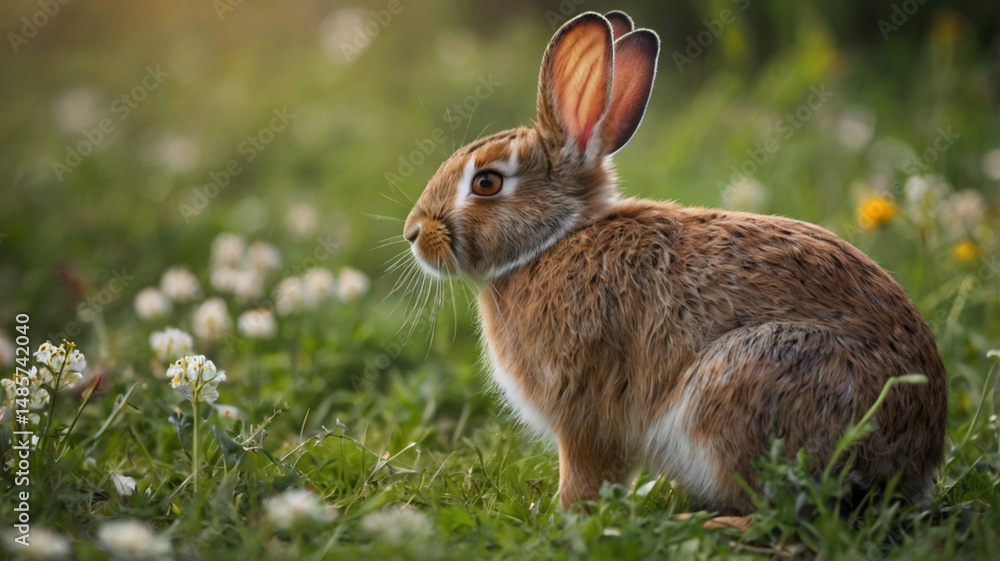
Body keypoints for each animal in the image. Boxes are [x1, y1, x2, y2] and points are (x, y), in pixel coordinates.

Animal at [402, 10, 947, 516]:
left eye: (486, 182)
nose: (413, 233)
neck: (553, 242)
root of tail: (914, 460)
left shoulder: (584, 414)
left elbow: (586, 472)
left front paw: (564, 516)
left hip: (747, 380)